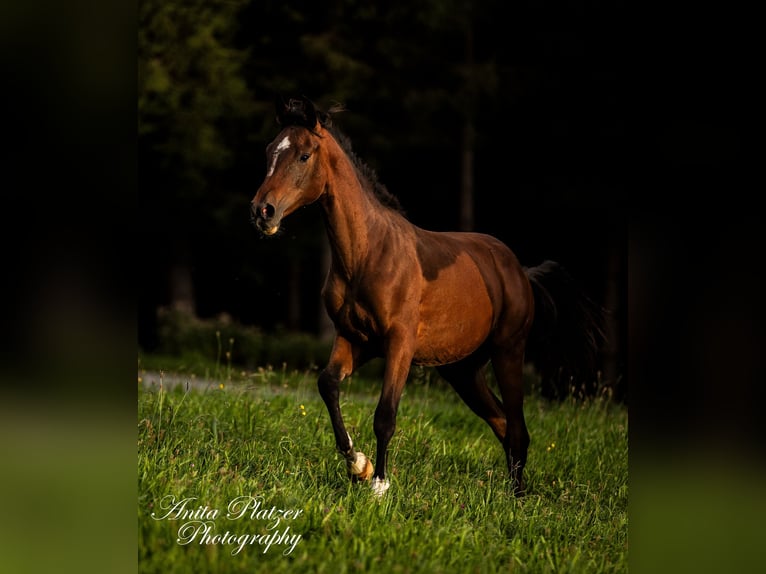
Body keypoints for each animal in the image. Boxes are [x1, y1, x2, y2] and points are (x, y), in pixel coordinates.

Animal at [252, 97, 608, 498]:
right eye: (269, 150)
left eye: (303, 155)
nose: (262, 211)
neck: (368, 253)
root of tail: (520, 272)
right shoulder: (355, 340)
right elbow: (327, 385)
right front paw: (359, 466)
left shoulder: (400, 343)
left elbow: (385, 415)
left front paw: (379, 484)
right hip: (463, 370)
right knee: (503, 422)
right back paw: (511, 491)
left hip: (508, 352)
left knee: (517, 426)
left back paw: (517, 497)